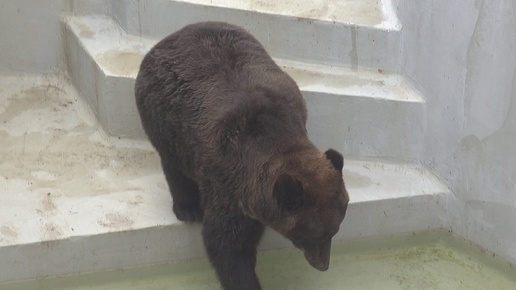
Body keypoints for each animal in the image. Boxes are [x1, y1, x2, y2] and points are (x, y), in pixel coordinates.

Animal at [135, 21, 348, 290]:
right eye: (313, 234)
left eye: (334, 230)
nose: (322, 264)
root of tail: (170, 36)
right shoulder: (227, 179)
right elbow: (227, 245)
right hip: (165, 116)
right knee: (173, 164)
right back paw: (188, 208)